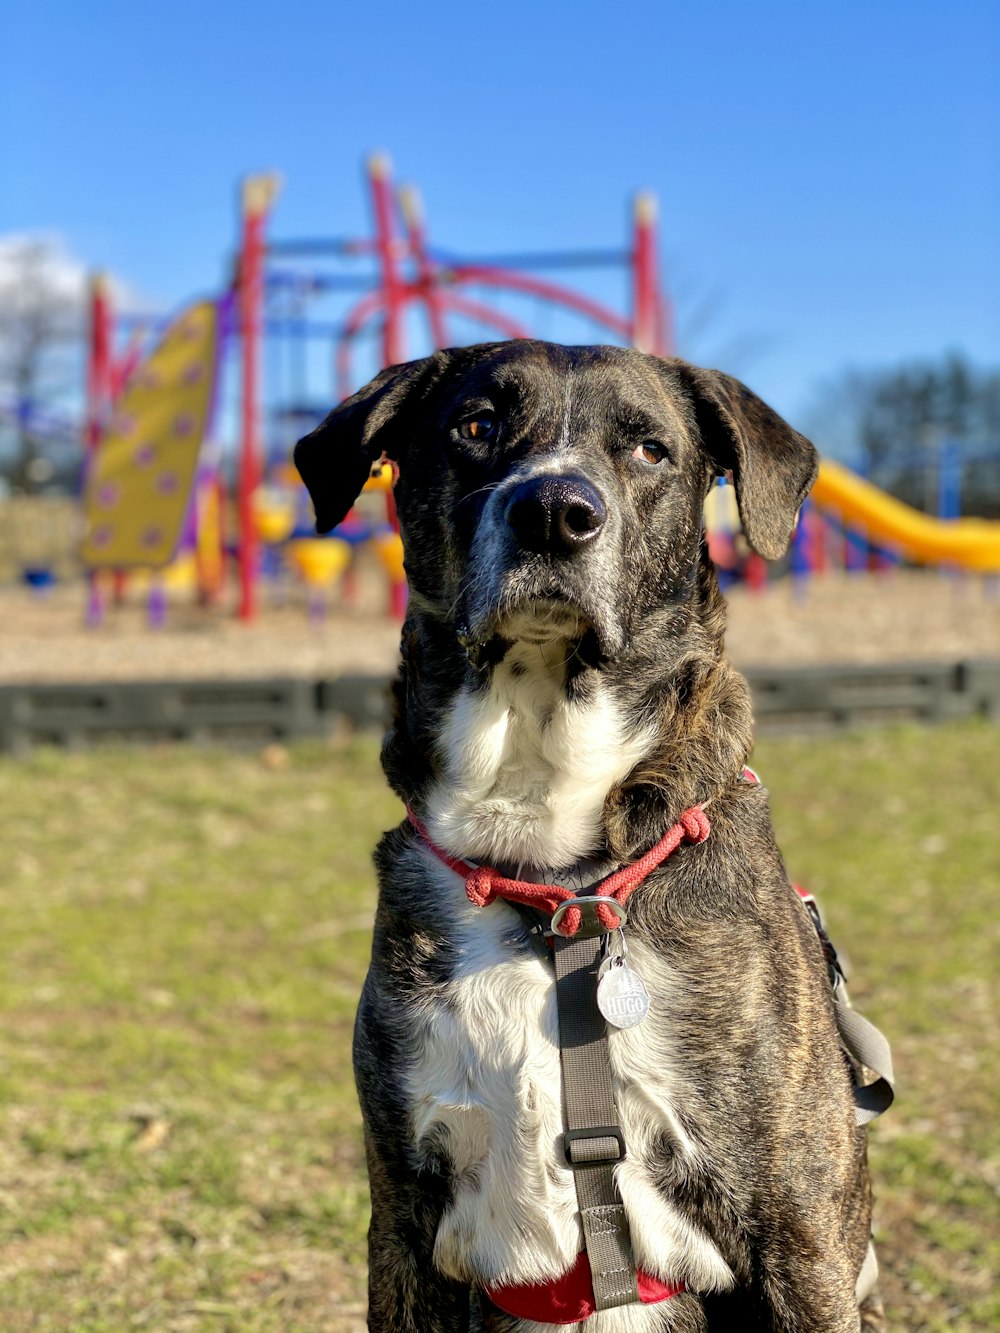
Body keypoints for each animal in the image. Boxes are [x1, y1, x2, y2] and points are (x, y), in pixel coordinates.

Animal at [296, 343, 885, 1333]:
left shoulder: (797, 1229)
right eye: (477, 425)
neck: (554, 874)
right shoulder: (404, 1224)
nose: (554, 512)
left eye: (649, 449)